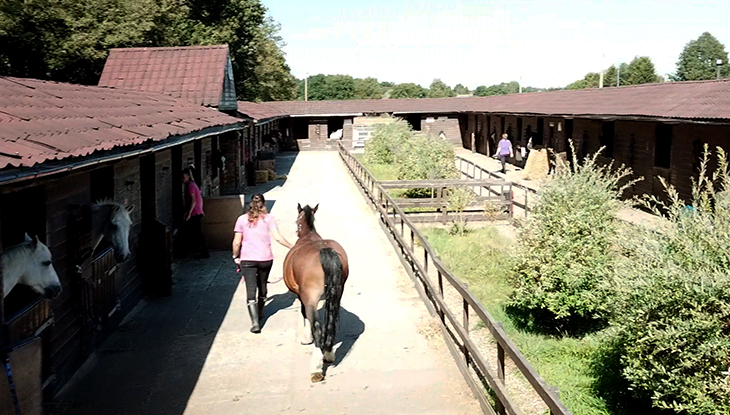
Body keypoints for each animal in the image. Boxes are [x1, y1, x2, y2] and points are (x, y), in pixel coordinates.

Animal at [282, 205, 348, 384]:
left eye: (297, 220)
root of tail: (325, 251)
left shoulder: (303, 296)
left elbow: (304, 314)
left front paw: (306, 338)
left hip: (311, 298)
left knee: (317, 327)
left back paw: (316, 369)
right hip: (336, 295)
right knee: (330, 323)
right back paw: (328, 354)